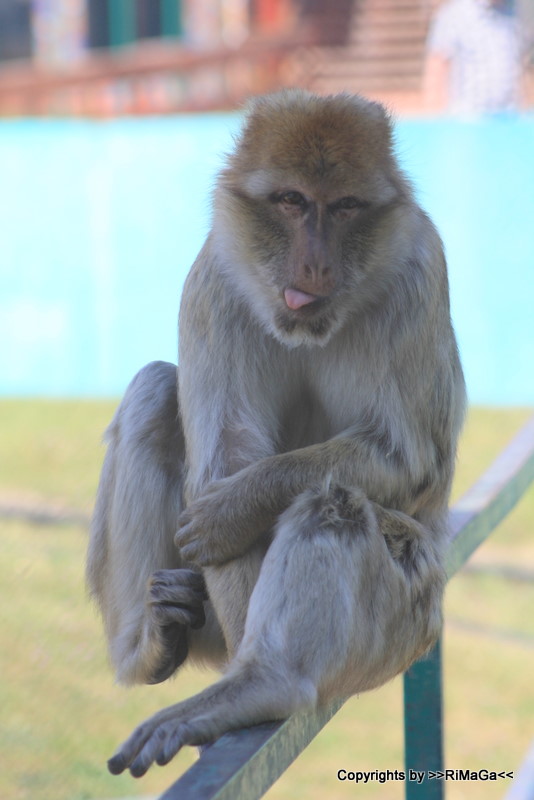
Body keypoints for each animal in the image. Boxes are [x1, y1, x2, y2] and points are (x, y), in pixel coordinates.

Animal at [87, 86, 464, 776]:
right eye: (291, 201)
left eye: (344, 208)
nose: (314, 262)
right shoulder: (214, 280)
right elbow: (228, 455)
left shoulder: (419, 274)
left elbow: (403, 457)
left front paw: (236, 508)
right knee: (155, 391)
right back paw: (152, 647)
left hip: (408, 616)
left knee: (334, 503)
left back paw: (264, 679)